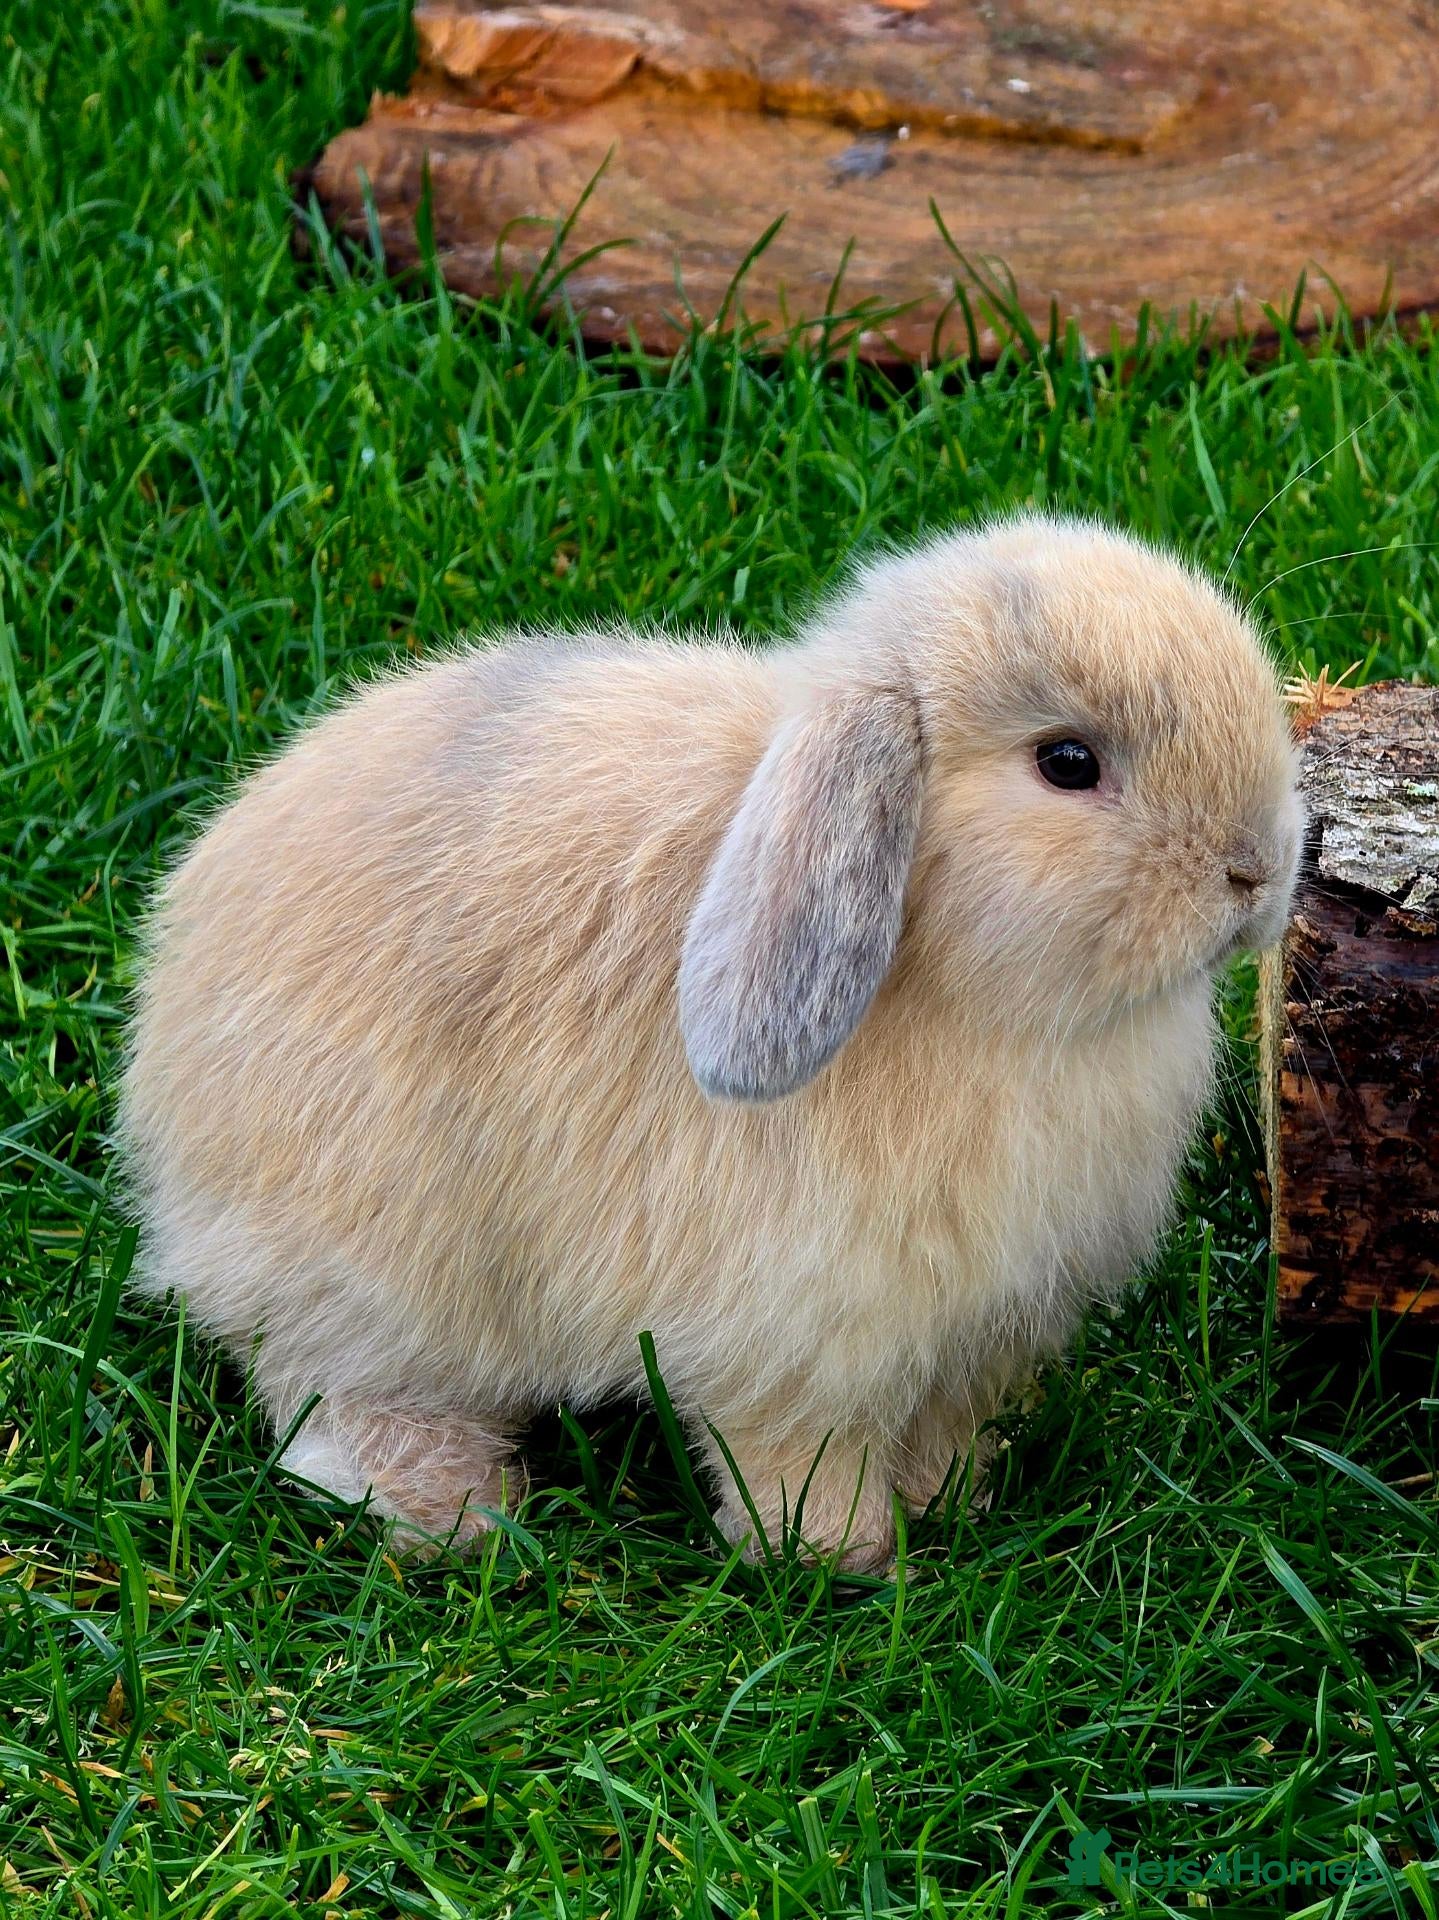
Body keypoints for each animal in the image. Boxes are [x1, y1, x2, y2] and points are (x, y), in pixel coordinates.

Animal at [118, 515, 1302, 1570]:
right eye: (1066, 761)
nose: (1256, 869)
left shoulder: (977, 1339)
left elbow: (944, 1432)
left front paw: (955, 1500)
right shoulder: (797, 1344)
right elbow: (794, 1460)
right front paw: (837, 1560)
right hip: (365, 1272)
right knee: (325, 1401)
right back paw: (451, 1511)